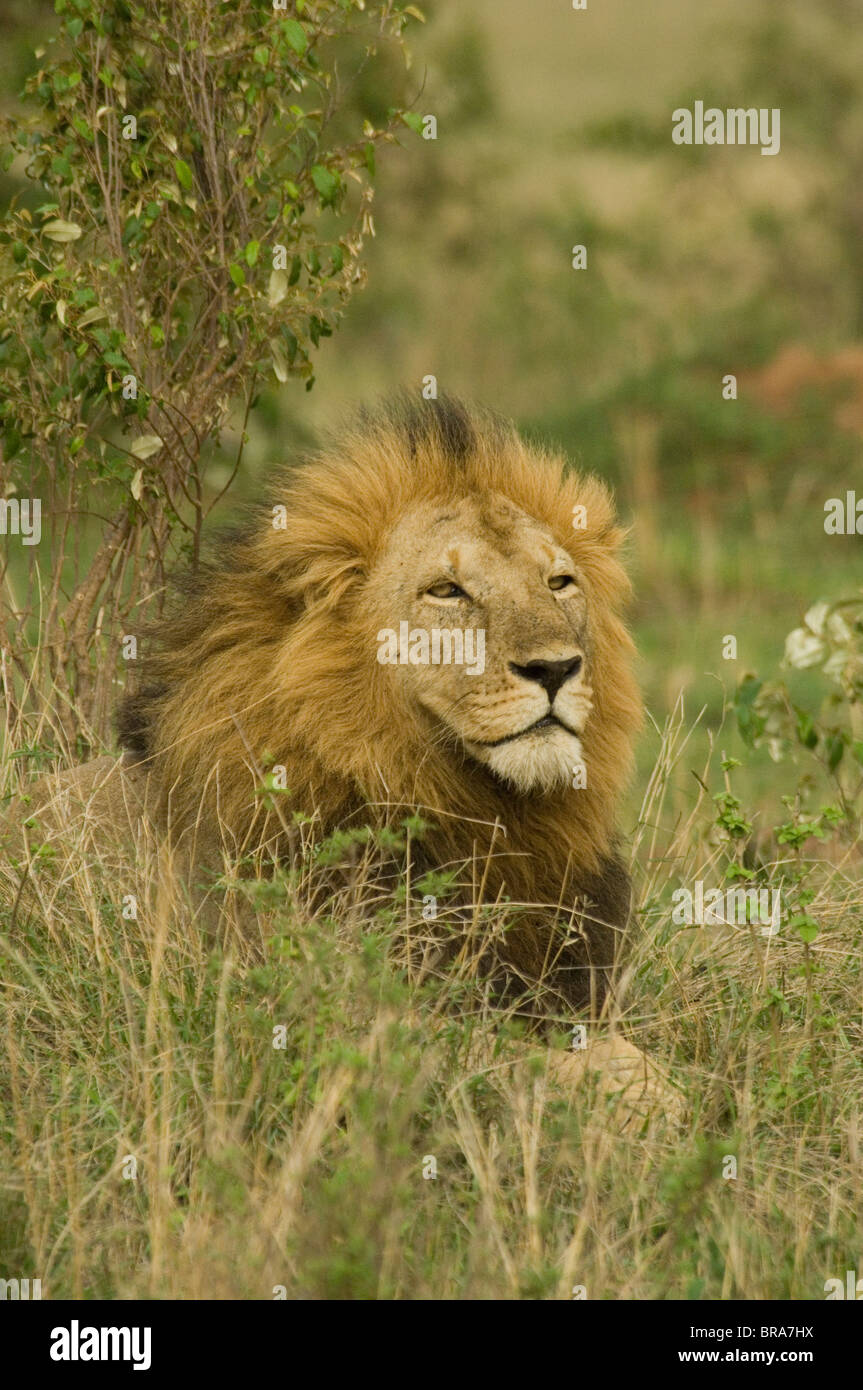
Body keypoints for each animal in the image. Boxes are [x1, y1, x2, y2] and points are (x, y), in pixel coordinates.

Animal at [9, 395, 680, 1125]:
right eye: (446, 591)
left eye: (559, 582)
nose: (556, 668)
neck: (477, 808)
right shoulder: (356, 1017)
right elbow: (538, 1065)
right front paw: (643, 1102)